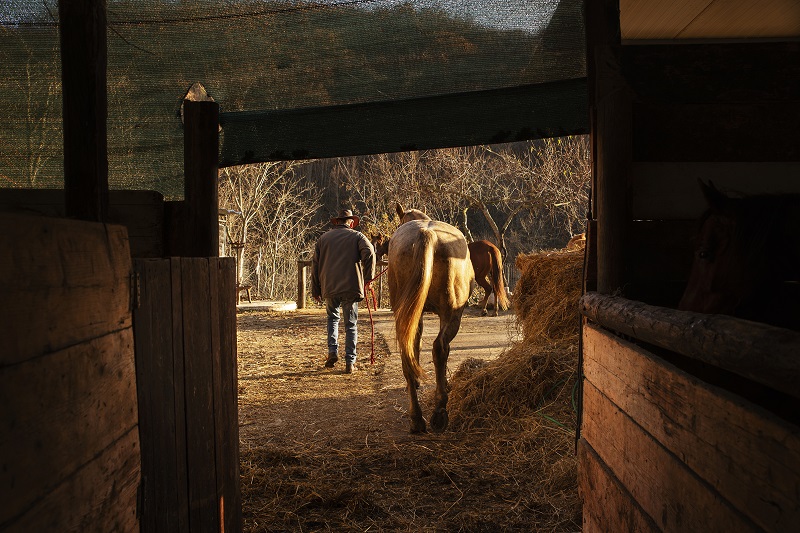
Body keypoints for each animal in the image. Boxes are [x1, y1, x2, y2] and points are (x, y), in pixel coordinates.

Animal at [390, 203, 476, 432]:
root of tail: (427, 234)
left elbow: (416, 344)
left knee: (407, 350)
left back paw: (417, 419)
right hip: (452, 314)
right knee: (440, 347)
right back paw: (439, 413)